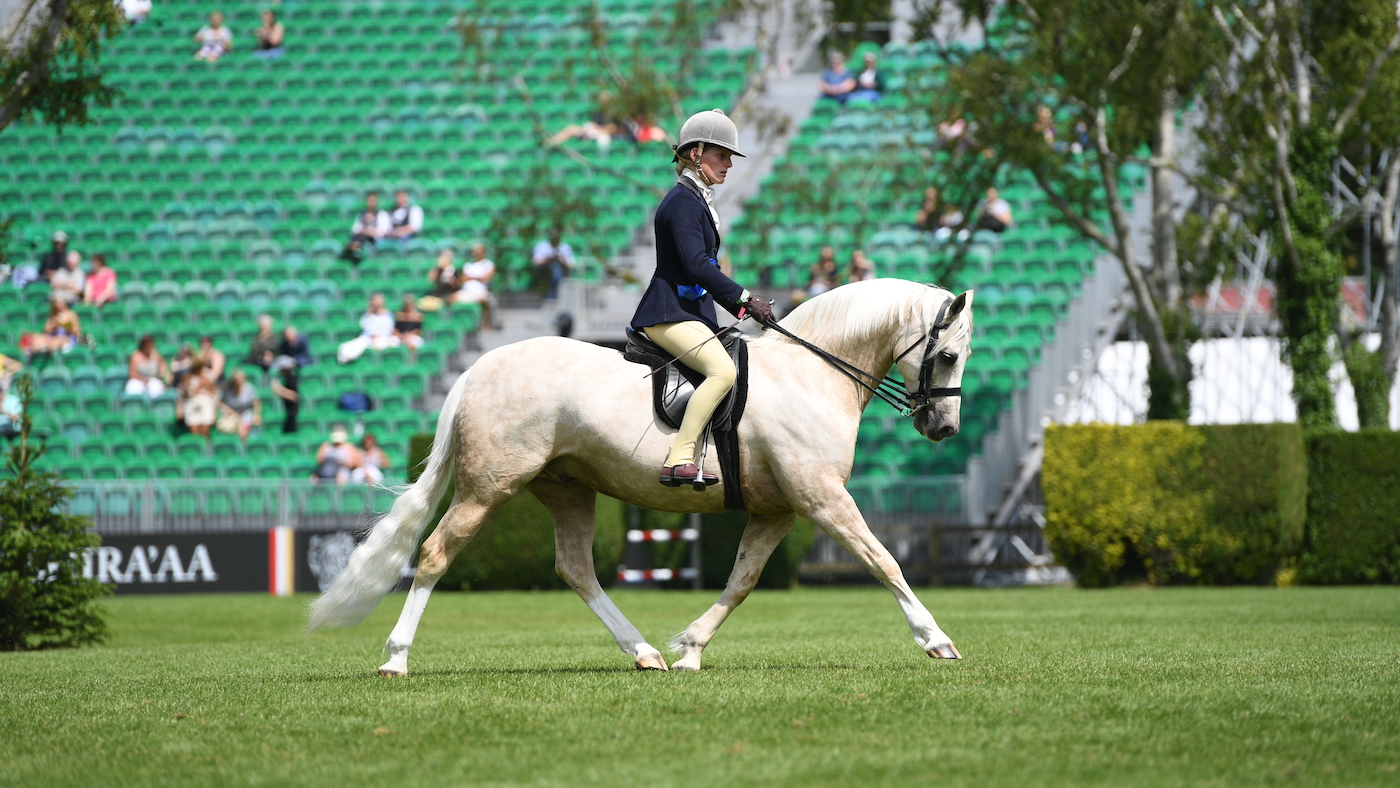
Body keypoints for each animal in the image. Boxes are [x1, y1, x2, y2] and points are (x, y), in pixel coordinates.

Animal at [308, 278, 975, 675]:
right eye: (947, 355)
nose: (943, 428)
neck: (813, 373)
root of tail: (480, 367)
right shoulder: (822, 499)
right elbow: (884, 560)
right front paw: (937, 639)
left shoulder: (778, 510)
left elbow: (741, 582)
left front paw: (691, 649)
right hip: (487, 488)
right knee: (435, 554)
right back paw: (396, 658)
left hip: (567, 489)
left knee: (575, 569)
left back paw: (646, 652)